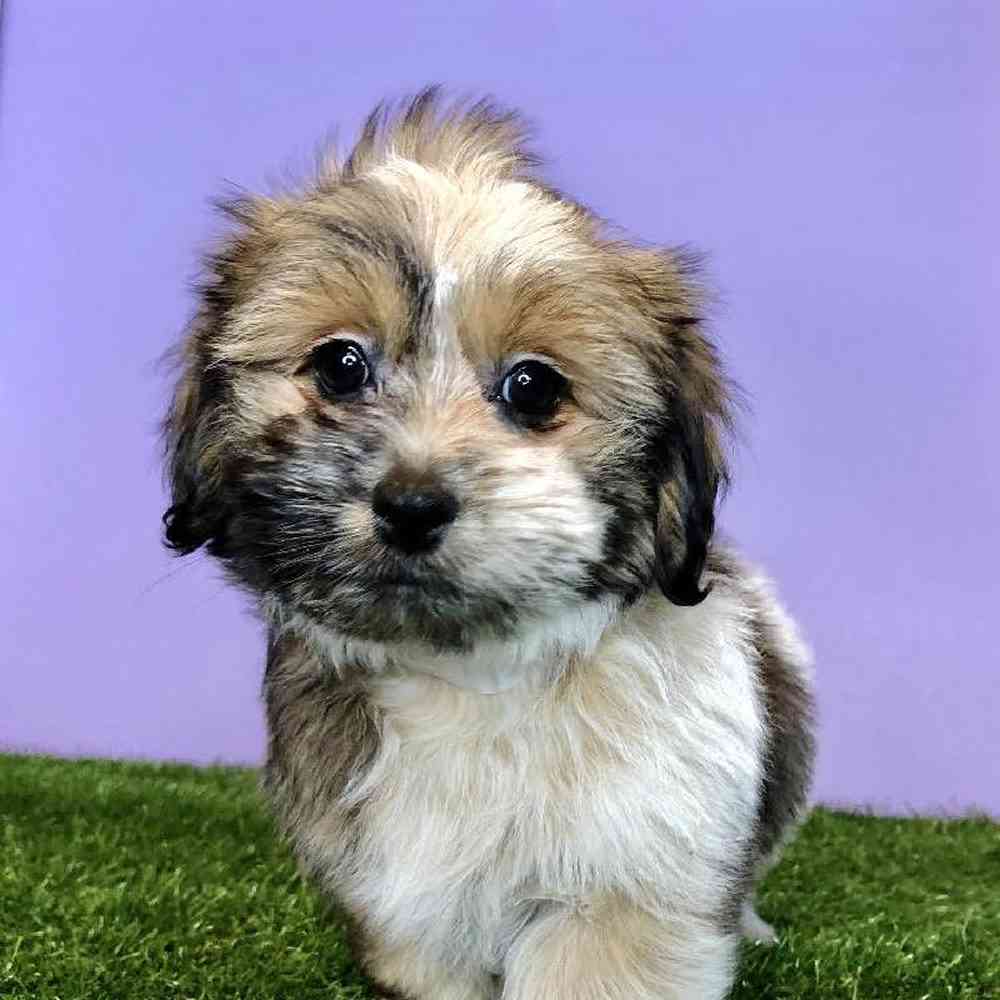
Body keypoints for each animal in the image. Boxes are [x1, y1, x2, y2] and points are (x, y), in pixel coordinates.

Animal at [162, 89, 815, 1000]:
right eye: (339, 366)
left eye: (533, 386)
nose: (410, 504)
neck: (473, 678)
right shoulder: (409, 904)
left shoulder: (625, 881)